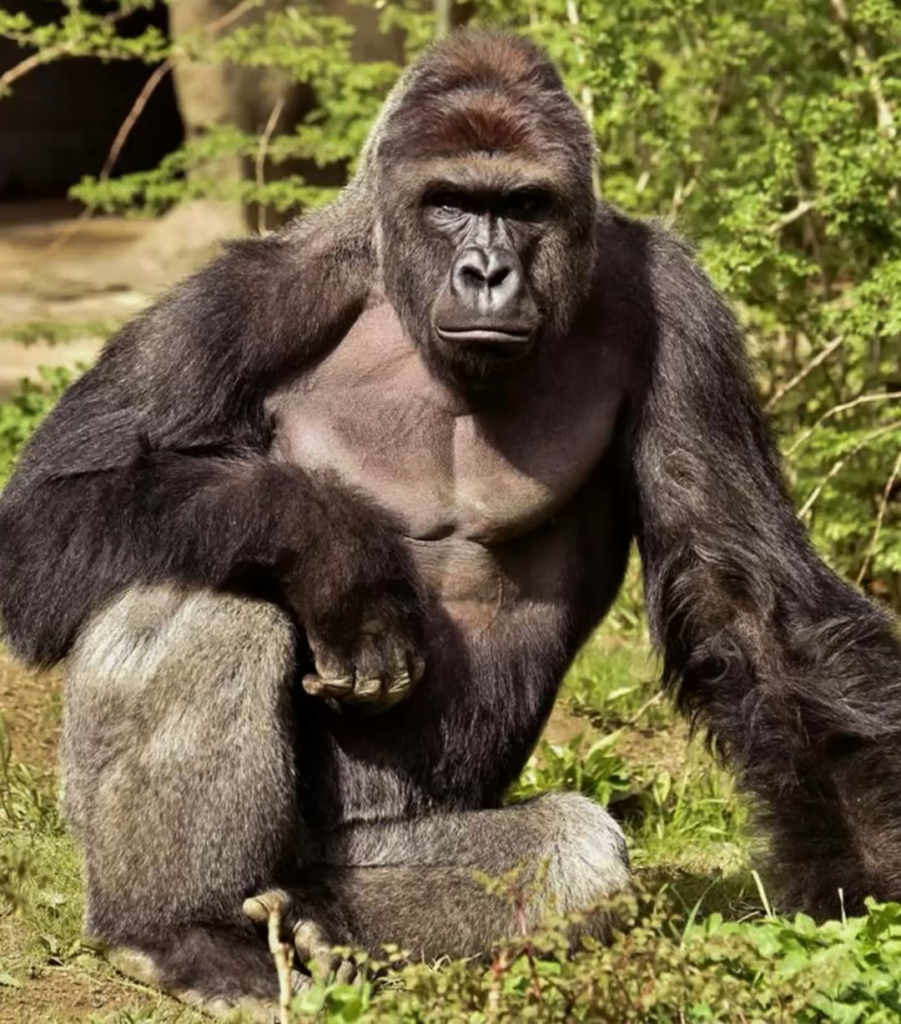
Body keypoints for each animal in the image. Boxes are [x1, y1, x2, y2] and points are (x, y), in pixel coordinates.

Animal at [0, 28, 900, 1015]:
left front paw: (869, 874)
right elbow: (48, 511)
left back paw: (320, 921)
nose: (487, 272)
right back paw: (179, 931)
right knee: (199, 584)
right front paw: (333, 549)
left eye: (522, 205)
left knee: (569, 854)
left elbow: (742, 592)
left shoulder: (677, 309)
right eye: (450, 203)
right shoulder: (240, 300)